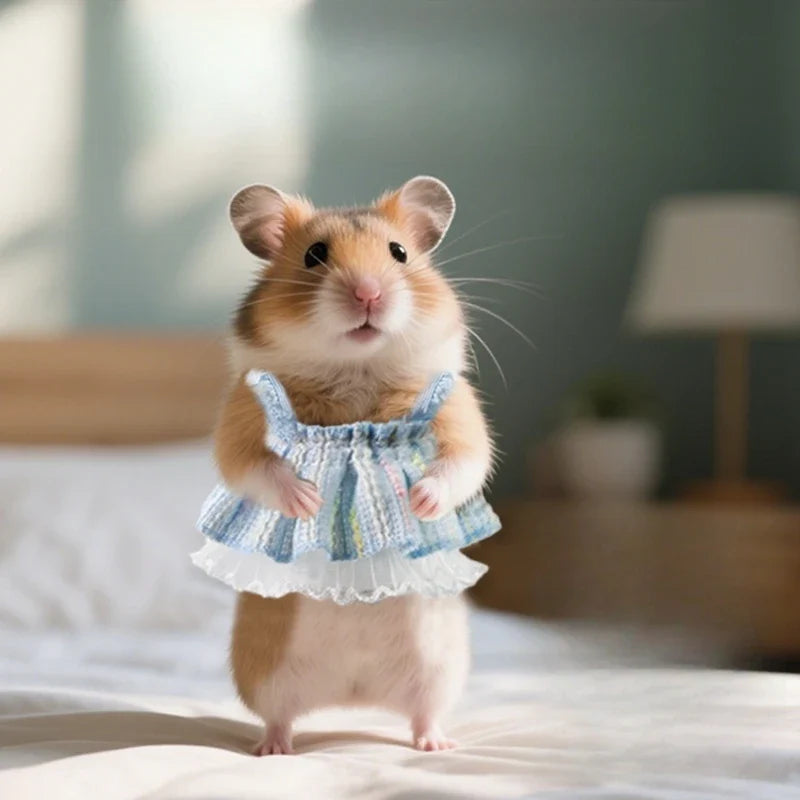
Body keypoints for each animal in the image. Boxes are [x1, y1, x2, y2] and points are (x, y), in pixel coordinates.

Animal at [215, 176, 494, 754]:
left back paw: (435, 745)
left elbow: (463, 461)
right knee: (278, 716)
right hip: (262, 673)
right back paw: (273, 750)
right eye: (315, 255)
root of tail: (353, 693)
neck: (356, 371)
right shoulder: (243, 413)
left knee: (424, 714)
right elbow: (251, 465)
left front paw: (420, 500)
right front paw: (308, 499)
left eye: (399, 252)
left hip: (440, 671)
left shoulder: (458, 409)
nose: (368, 293)